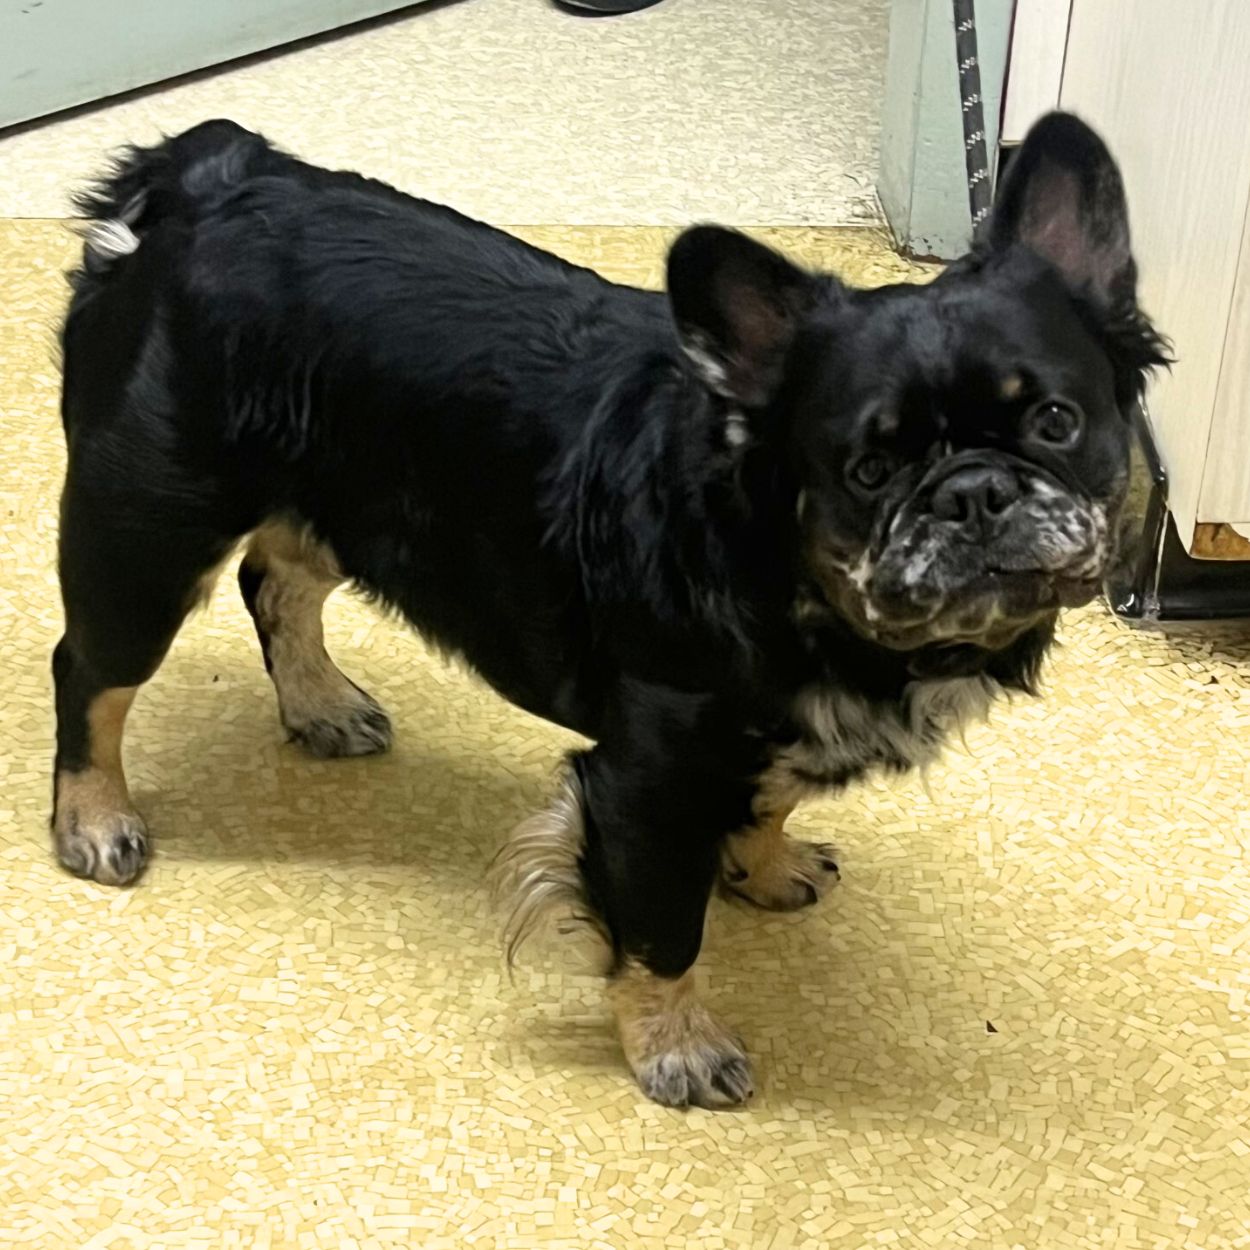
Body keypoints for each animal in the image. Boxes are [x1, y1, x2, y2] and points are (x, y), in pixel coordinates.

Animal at [48, 115, 1160, 1105]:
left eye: (1055, 420)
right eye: (867, 469)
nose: (973, 489)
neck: (792, 575)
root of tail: (204, 181)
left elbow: (772, 797)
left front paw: (763, 866)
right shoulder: (650, 778)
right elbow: (662, 929)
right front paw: (676, 1046)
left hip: (345, 506)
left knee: (275, 578)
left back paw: (319, 702)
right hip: (146, 536)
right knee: (91, 674)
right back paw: (95, 817)